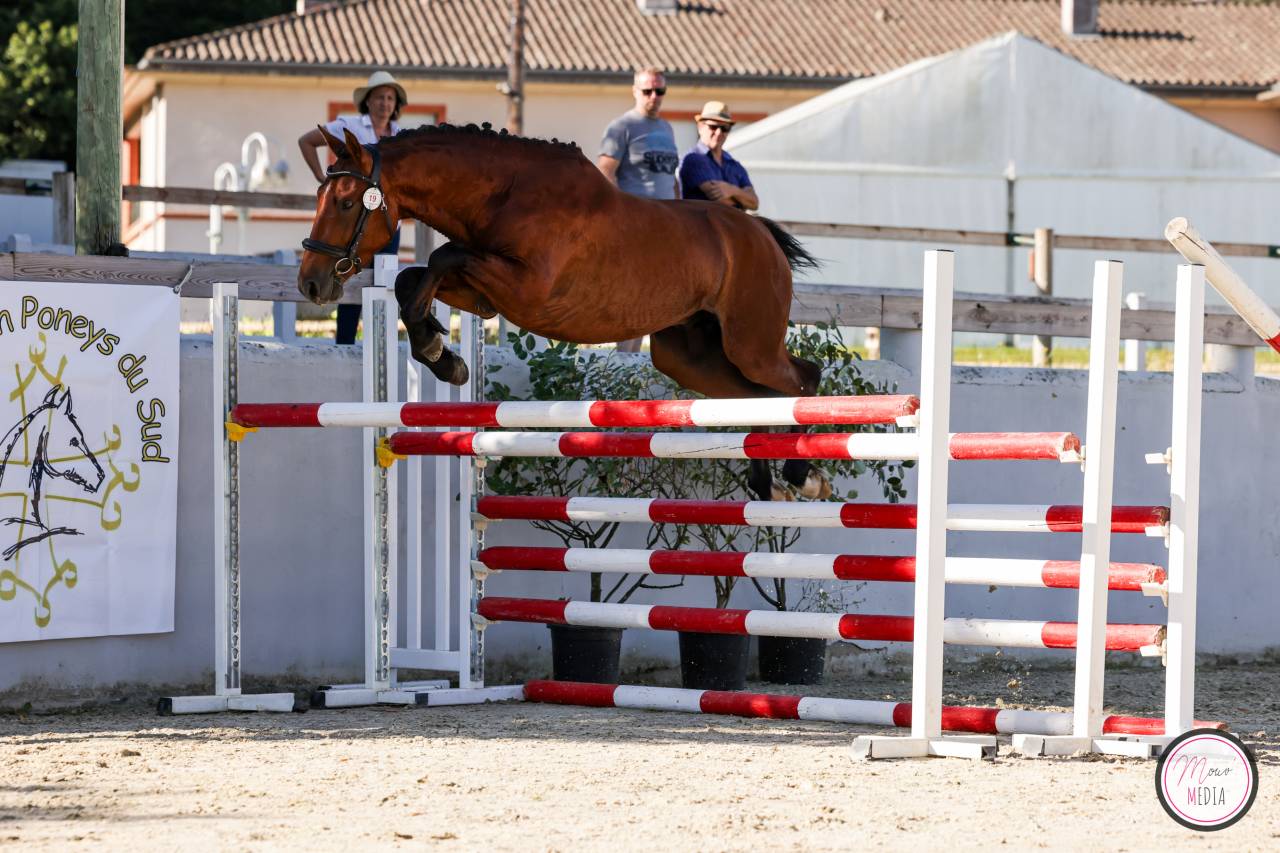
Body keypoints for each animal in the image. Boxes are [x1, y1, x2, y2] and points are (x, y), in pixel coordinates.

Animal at [298, 122, 822, 501]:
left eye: (346, 202)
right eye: (320, 197)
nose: (311, 283)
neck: (503, 194)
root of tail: (761, 234)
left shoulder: (525, 288)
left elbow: (445, 256)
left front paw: (434, 347)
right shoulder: (487, 293)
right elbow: (413, 278)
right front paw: (443, 355)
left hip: (749, 343)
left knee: (802, 378)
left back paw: (801, 472)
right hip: (689, 357)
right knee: (758, 396)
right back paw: (764, 482)